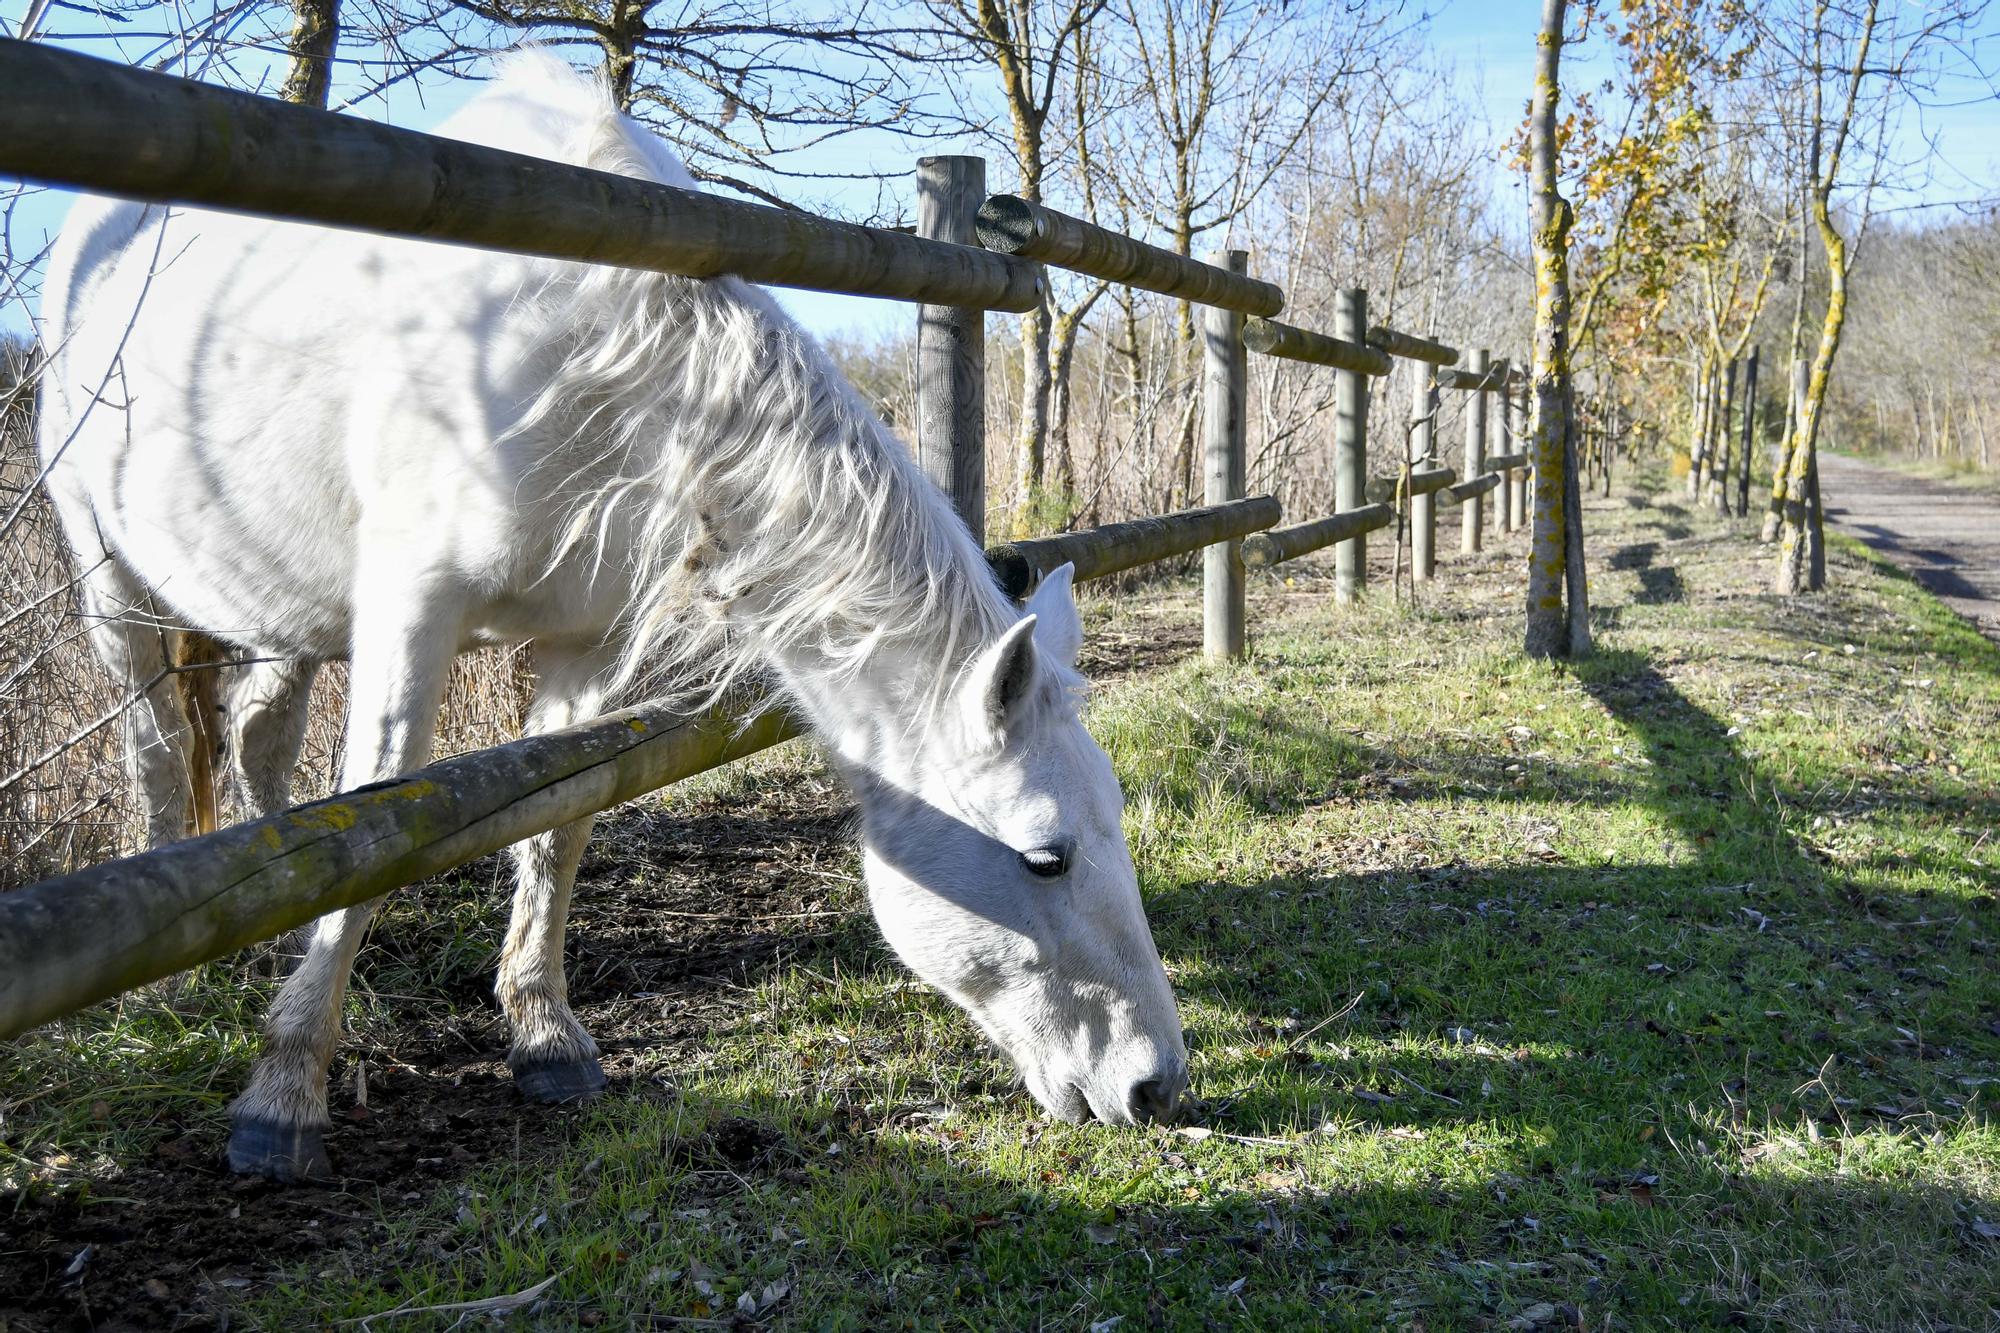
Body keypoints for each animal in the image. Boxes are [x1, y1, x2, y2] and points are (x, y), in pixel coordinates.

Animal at [39, 52, 1184, 1176]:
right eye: (1045, 856)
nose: (1154, 1086)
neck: (579, 349)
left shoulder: (579, 644)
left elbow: (556, 828)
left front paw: (544, 1037)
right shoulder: (411, 613)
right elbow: (375, 825)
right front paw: (282, 1098)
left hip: (287, 612)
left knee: (258, 740)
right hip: (113, 581)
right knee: (159, 752)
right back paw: (170, 984)